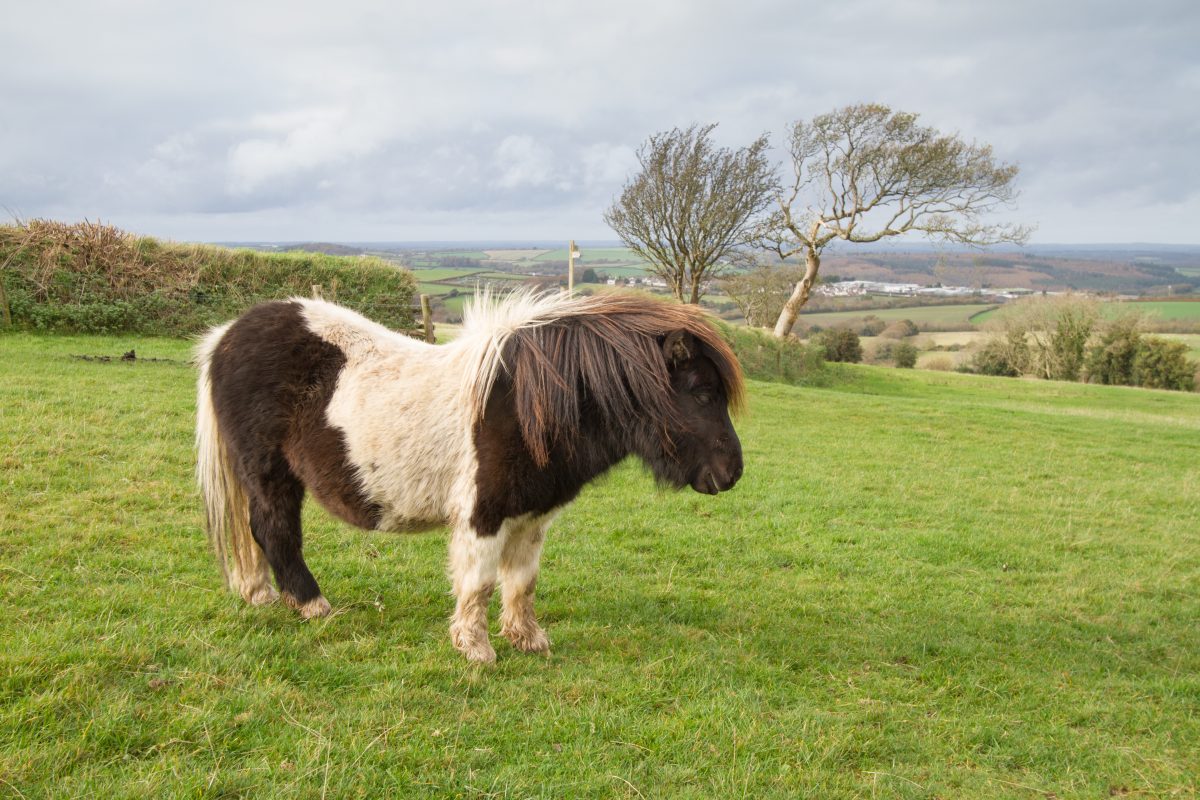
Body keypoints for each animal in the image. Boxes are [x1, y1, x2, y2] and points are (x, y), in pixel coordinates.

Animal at [194, 291, 739, 662]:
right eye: (702, 392)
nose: (732, 473)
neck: (530, 405)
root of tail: (226, 336)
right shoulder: (484, 513)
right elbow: (477, 581)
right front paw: (475, 648)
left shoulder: (532, 517)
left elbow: (521, 581)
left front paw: (527, 639)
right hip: (270, 473)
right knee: (274, 531)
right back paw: (311, 605)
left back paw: (260, 595)